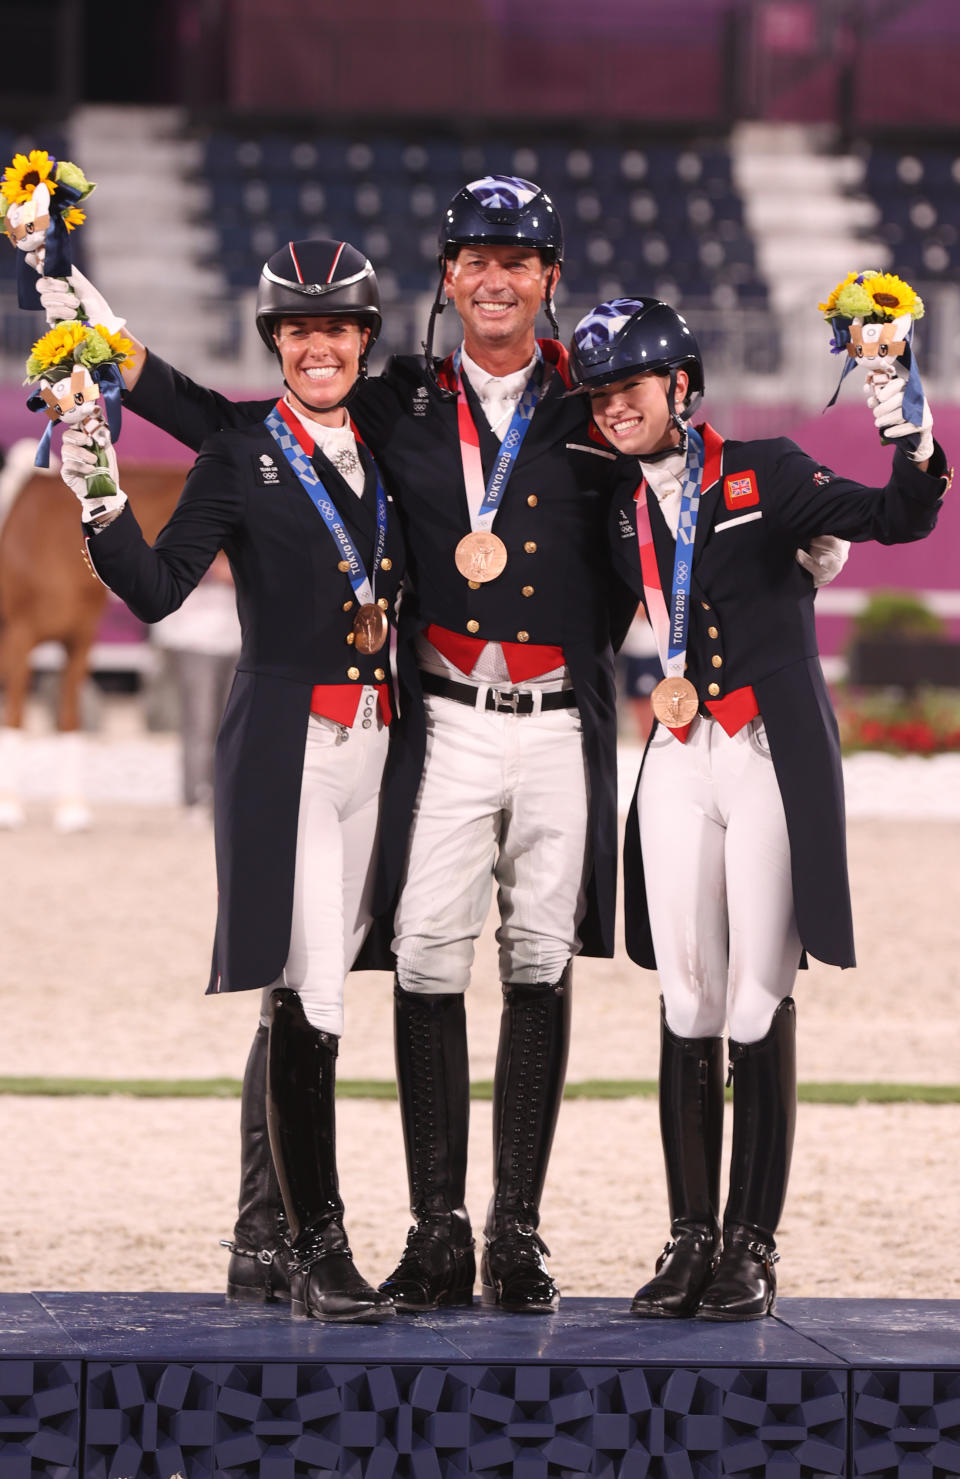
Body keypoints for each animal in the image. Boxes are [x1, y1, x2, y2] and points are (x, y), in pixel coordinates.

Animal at [0, 443, 189, 828]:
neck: (50, 537)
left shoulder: (79, 641)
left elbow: (71, 720)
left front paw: (71, 809)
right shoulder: (20, 639)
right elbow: (15, 716)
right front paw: (9, 807)